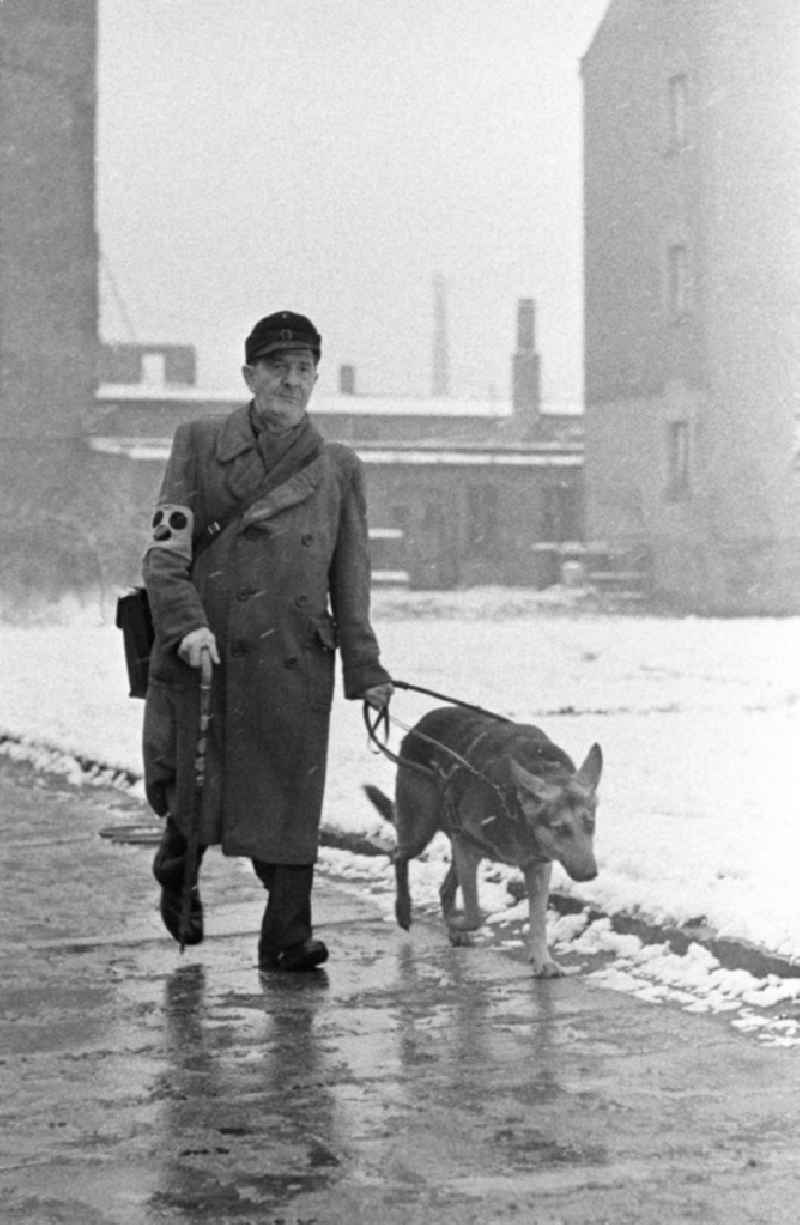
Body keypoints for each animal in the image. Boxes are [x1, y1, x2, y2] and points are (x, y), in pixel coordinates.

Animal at [362, 710, 597, 975]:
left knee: (445, 889)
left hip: (452, 844)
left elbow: (538, 921)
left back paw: (453, 928)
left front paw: (542, 960)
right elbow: (474, 914)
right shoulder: (467, 848)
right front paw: (455, 920)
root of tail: (421, 724)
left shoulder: (538, 866)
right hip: (421, 829)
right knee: (399, 856)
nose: (590, 874)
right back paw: (404, 910)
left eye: (590, 824)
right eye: (560, 829)